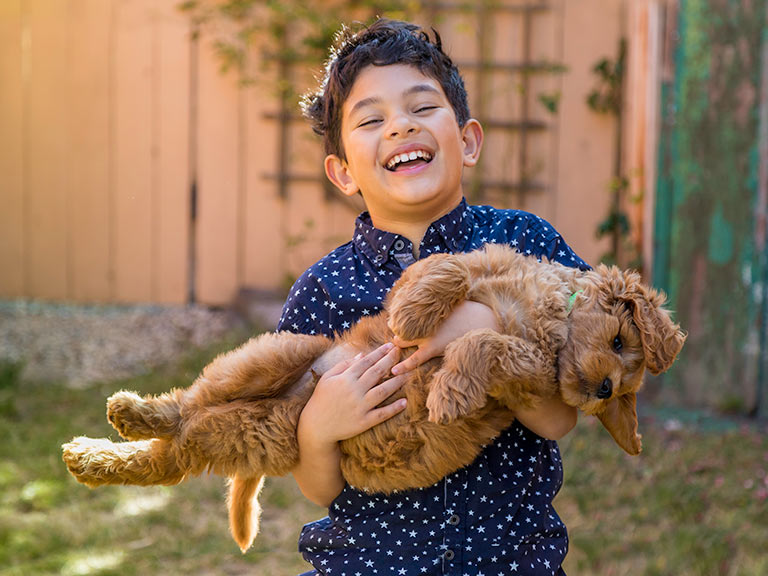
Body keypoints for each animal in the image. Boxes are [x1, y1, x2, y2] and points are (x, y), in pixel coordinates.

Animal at [61, 243, 684, 552]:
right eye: (619, 339)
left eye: (625, 387)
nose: (604, 389)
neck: (544, 315)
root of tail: (283, 404)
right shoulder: (482, 265)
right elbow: (447, 268)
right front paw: (413, 314)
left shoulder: (527, 379)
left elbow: (488, 345)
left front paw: (450, 389)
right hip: (270, 357)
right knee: (187, 403)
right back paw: (132, 413)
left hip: (252, 436)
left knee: (169, 457)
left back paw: (95, 455)